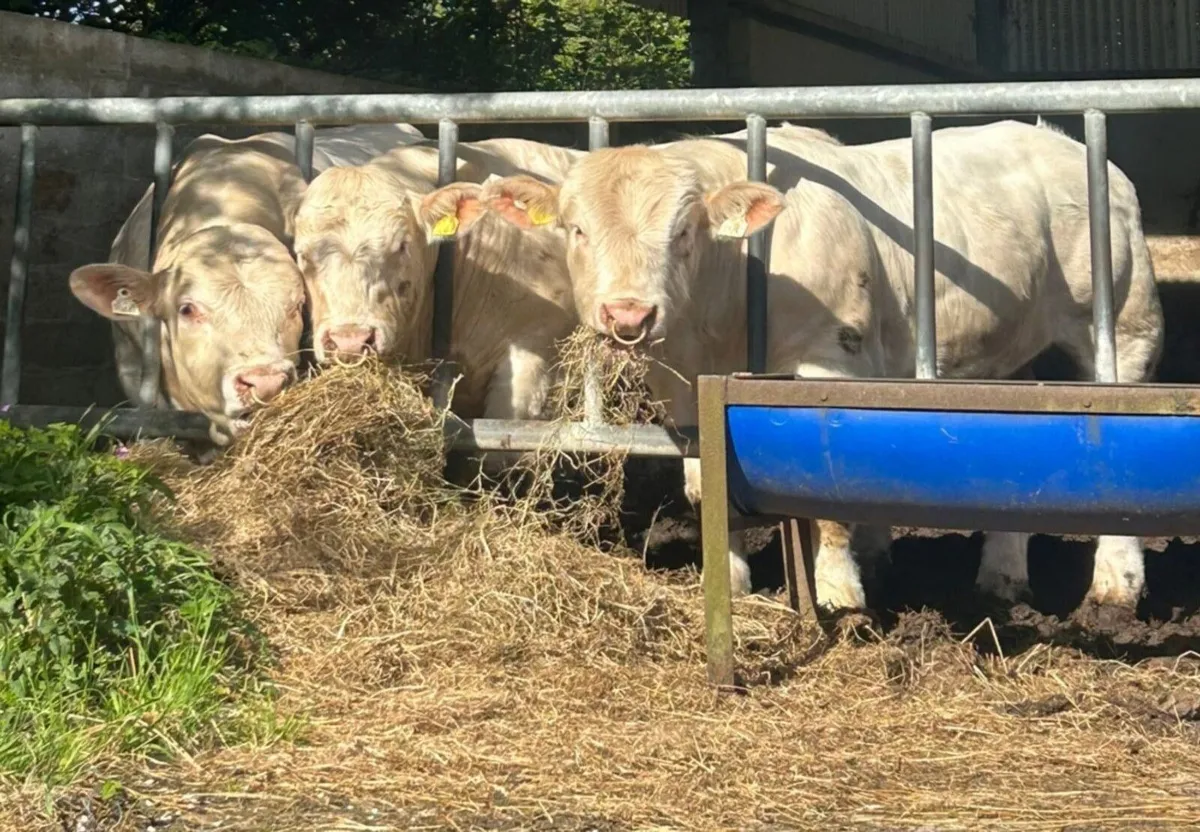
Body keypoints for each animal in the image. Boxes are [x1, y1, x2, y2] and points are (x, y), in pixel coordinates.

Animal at [476, 118, 1165, 613]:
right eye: (575, 229)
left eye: (684, 232)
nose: (628, 314)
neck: (723, 317)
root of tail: (1060, 140)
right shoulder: (681, 387)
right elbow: (706, 486)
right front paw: (732, 579)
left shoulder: (826, 358)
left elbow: (825, 488)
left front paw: (839, 591)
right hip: (999, 351)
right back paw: (1001, 573)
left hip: (1126, 321)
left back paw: (1116, 581)